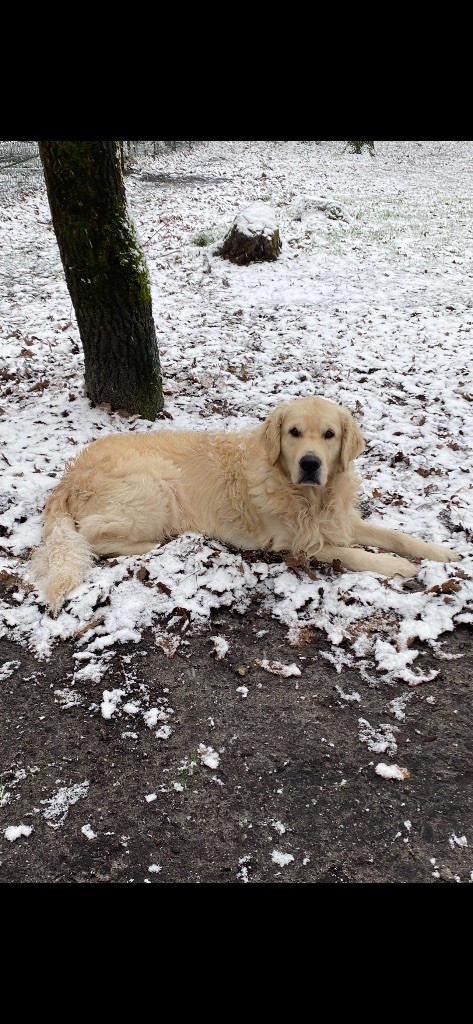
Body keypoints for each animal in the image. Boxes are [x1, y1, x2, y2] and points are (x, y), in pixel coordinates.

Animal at [31, 395, 460, 610]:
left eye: (329, 434)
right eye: (294, 432)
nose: (310, 463)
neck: (306, 496)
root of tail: (69, 473)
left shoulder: (338, 519)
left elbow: (396, 535)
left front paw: (441, 552)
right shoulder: (294, 544)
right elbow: (353, 553)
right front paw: (397, 567)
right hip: (154, 487)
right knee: (91, 536)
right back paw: (154, 543)